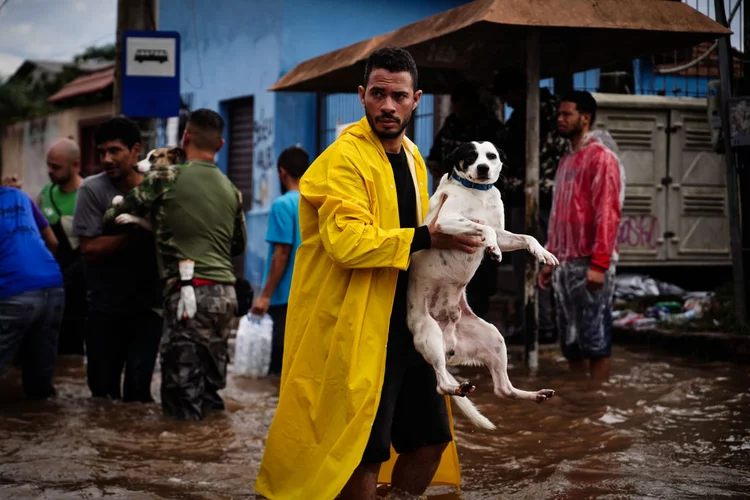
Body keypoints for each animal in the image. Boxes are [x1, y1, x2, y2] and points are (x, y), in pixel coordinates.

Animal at [408, 141, 560, 430]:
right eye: (470, 156)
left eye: (491, 156)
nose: (482, 168)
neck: (477, 193)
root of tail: (450, 341)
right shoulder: (447, 222)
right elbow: (484, 231)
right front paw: (491, 249)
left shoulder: (503, 233)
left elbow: (526, 236)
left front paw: (542, 253)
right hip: (429, 334)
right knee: (441, 384)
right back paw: (457, 388)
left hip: (495, 339)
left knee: (503, 389)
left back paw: (534, 394)